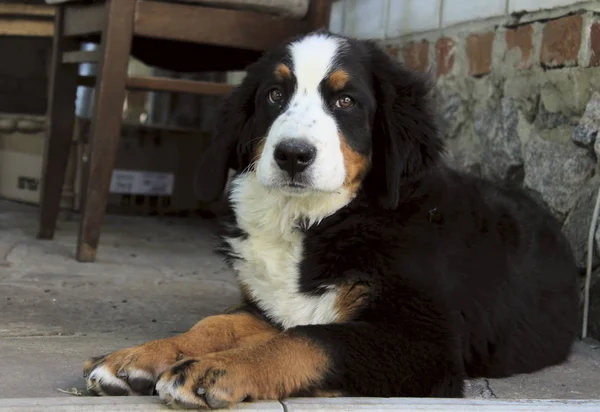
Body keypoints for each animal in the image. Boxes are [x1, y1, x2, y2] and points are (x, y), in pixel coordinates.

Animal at [82, 31, 580, 408]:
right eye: (275, 95)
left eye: (345, 101)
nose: (292, 155)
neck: (313, 223)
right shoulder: (270, 306)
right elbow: (218, 324)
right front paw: (136, 358)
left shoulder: (425, 344)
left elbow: (312, 341)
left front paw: (214, 369)